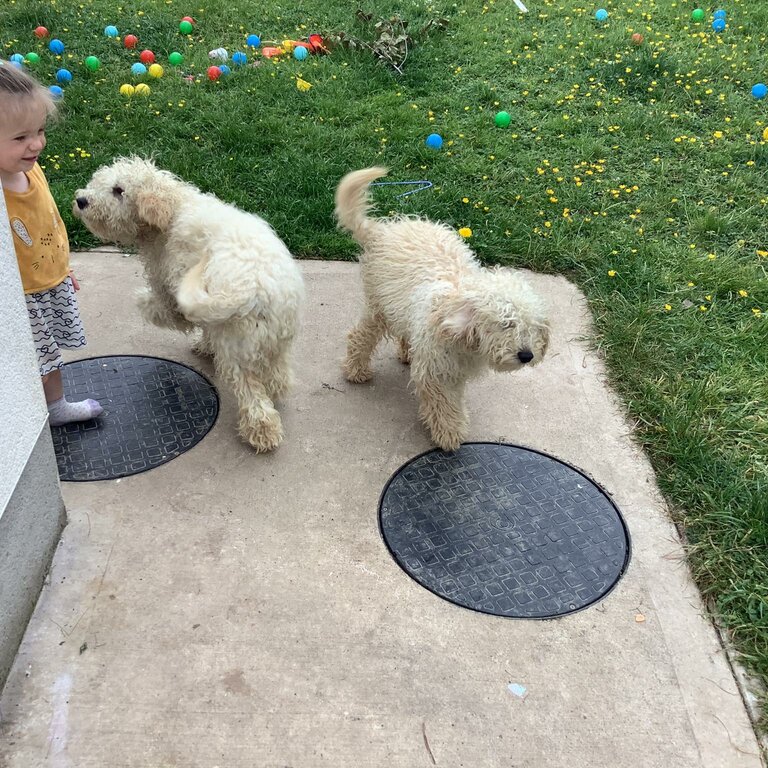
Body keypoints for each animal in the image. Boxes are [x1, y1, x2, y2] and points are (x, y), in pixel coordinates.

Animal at [73, 158, 304, 452]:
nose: (81, 200)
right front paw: (204, 346)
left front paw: (148, 305)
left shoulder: (177, 292)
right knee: (278, 377)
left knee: (254, 399)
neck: (172, 211)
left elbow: (168, 310)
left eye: (118, 190)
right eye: (100, 181)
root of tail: (256, 288)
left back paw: (261, 433)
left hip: (237, 352)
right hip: (276, 338)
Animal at [334, 166, 544, 450]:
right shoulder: (437, 372)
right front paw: (449, 433)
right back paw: (356, 370)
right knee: (360, 335)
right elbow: (444, 403)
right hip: (379, 306)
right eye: (505, 323)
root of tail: (382, 230)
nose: (527, 355)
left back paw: (406, 352)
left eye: (532, 327)